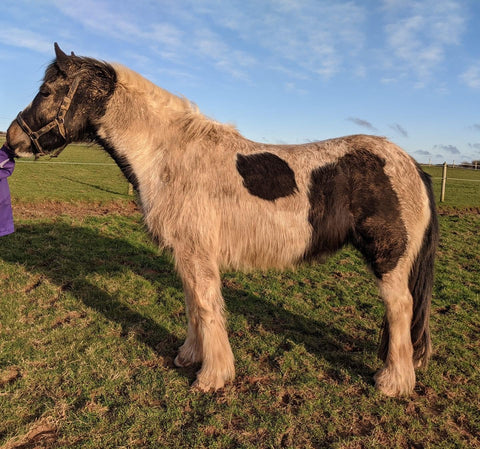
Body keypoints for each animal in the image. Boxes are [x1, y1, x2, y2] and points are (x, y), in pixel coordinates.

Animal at [6, 43, 438, 396]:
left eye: (46, 92)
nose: (11, 140)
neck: (167, 155)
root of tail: (411, 165)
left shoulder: (198, 254)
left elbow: (207, 307)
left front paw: (212, 376)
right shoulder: (186, 255)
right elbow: (192, 306)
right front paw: (189, 356)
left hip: (389, 260)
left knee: (400, 308)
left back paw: (393, 382)